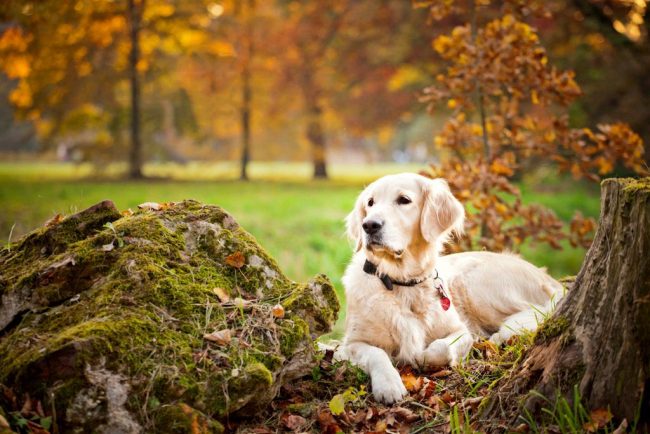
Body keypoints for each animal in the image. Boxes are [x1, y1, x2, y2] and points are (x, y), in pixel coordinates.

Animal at [340, 173, 560, 404]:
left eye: (403, 200)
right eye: (370, 203)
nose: (369, 225)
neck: (402, 281)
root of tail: (548, 278)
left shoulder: (460, 330)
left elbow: (442, 348)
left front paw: (421, 356)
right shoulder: (350, 343)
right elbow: (376, 354)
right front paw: (388, 385)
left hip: (473, 282)